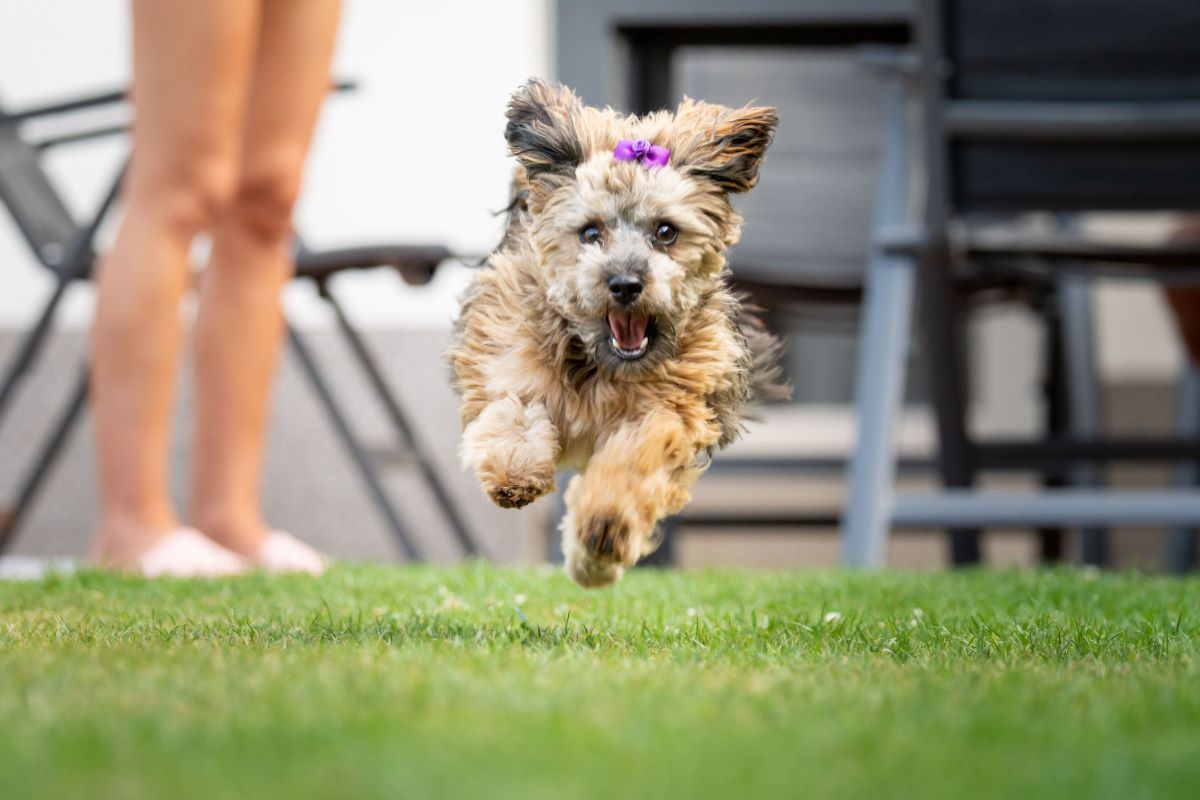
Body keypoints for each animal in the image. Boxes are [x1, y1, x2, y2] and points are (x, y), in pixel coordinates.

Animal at [446, 77, 782, 585]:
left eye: (665, 231)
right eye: (590, 233)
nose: (624, 284)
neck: (599, 362)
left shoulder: (668, 411)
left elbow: (633, 463)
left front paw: (603, 532)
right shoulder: (509, 359)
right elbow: (514, 413)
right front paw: (515, 473)